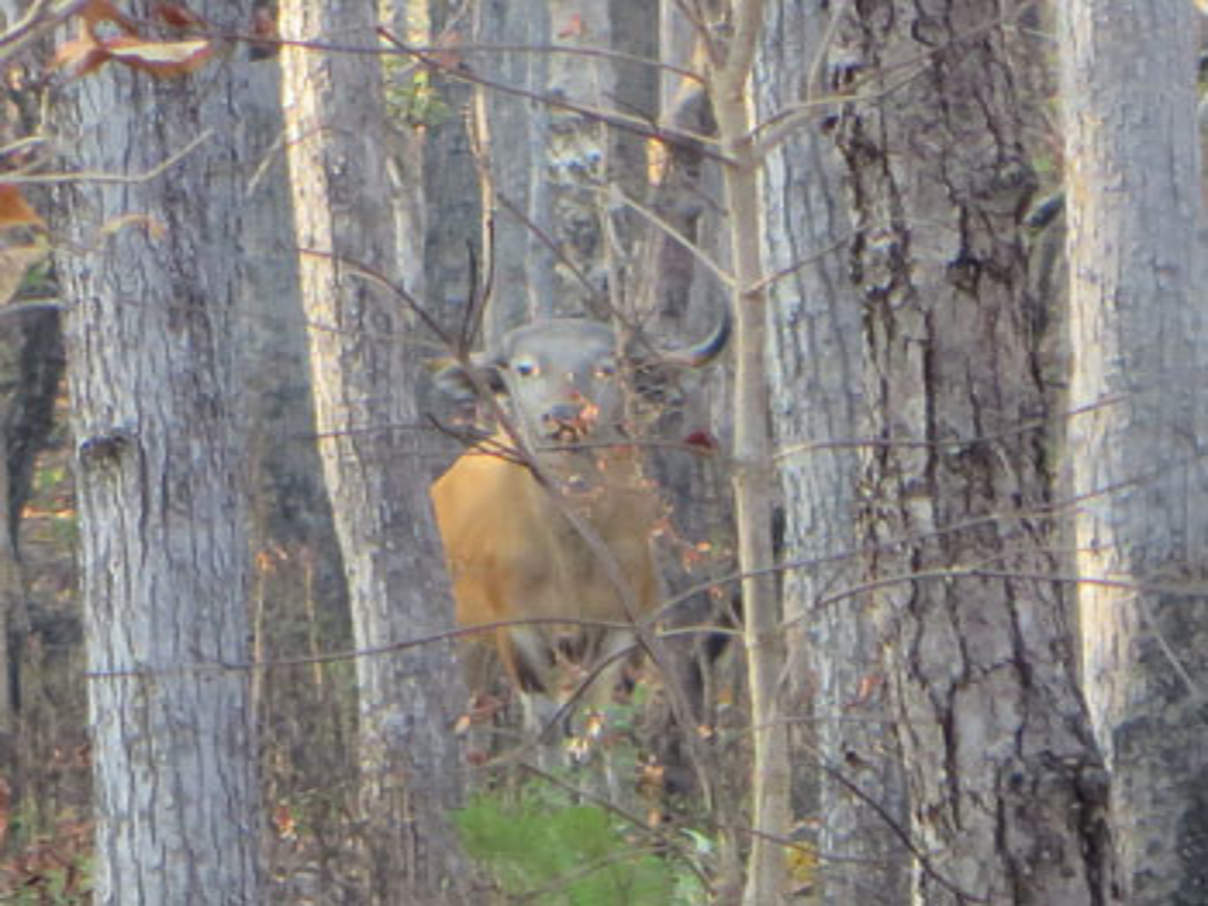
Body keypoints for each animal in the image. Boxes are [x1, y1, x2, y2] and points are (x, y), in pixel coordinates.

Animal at [430, 316, 729, 729]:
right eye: (525, 367)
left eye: (607, 367)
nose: (563, 415)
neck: (568, 556)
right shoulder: (518, 628)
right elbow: (545, 719)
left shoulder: (620, 627)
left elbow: (595, 717)